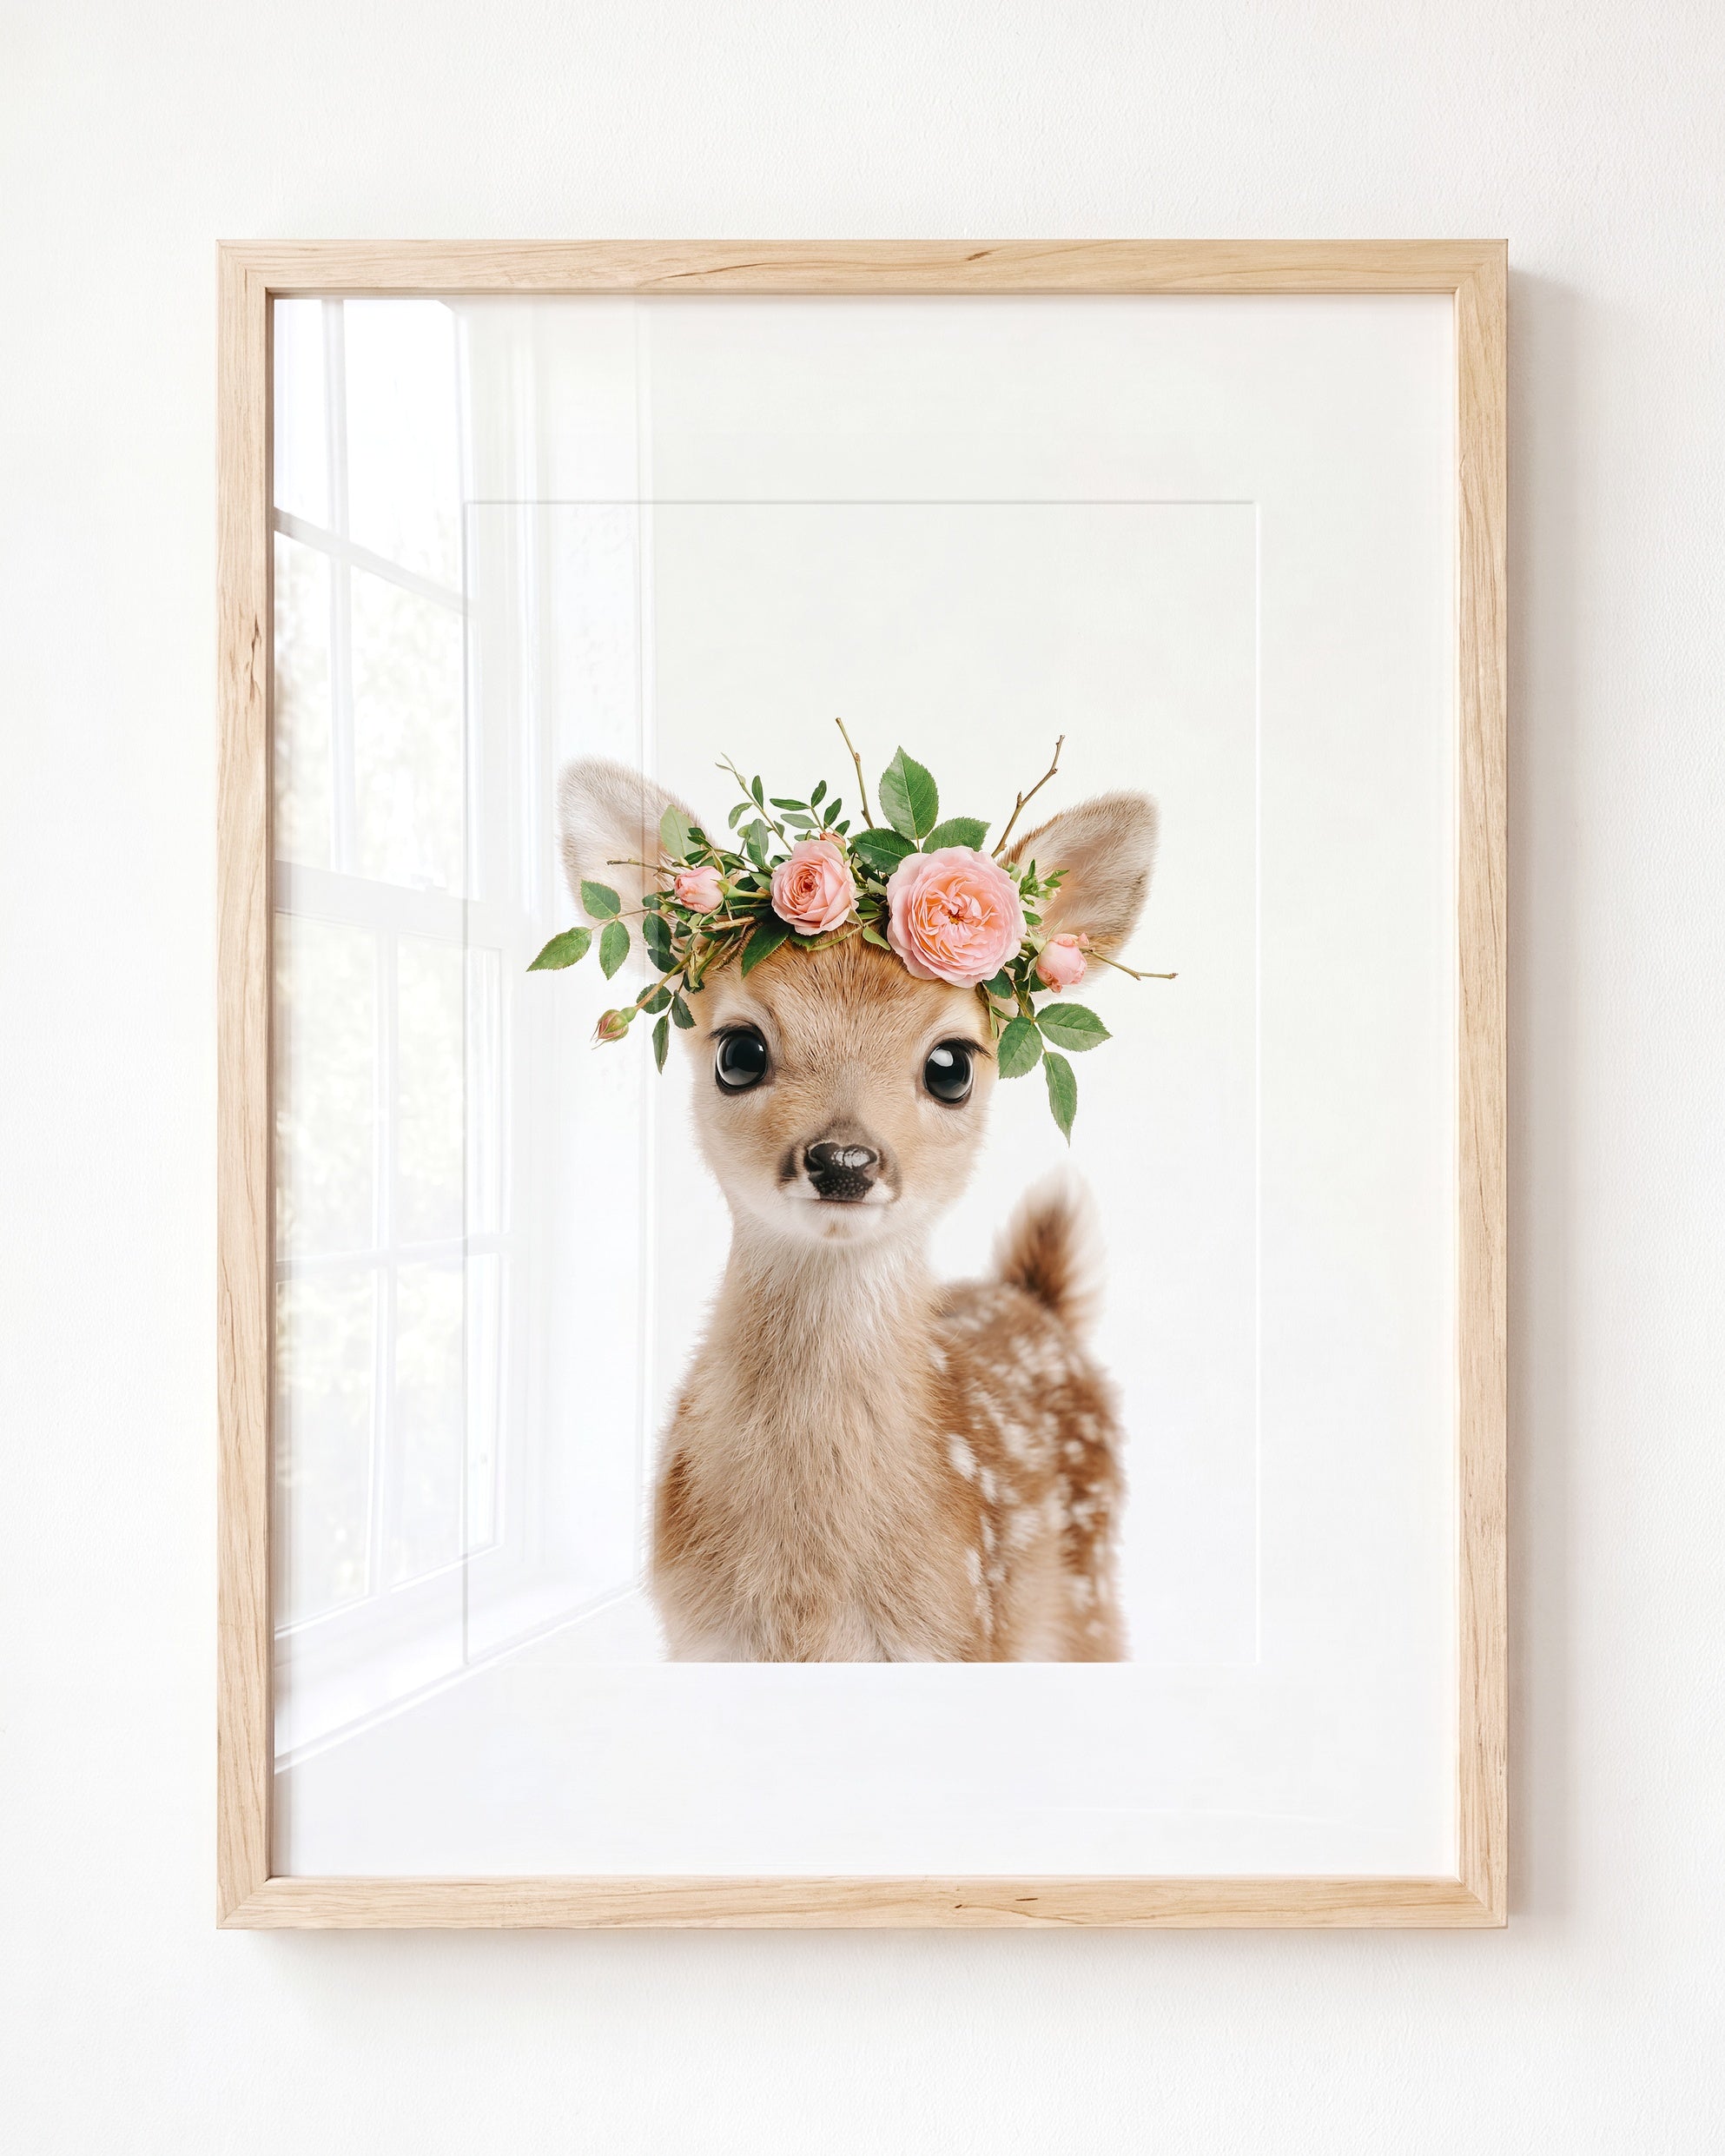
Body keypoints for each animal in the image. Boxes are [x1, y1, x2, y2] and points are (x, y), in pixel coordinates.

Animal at [558, 757, 1159, 1661]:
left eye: (952, 1065)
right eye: (739, 1051)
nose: (843, 1161)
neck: (811, 1599)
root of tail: (1036, 1299)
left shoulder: (960, 1631)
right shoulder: (701, 1638)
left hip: (1083, 1598)